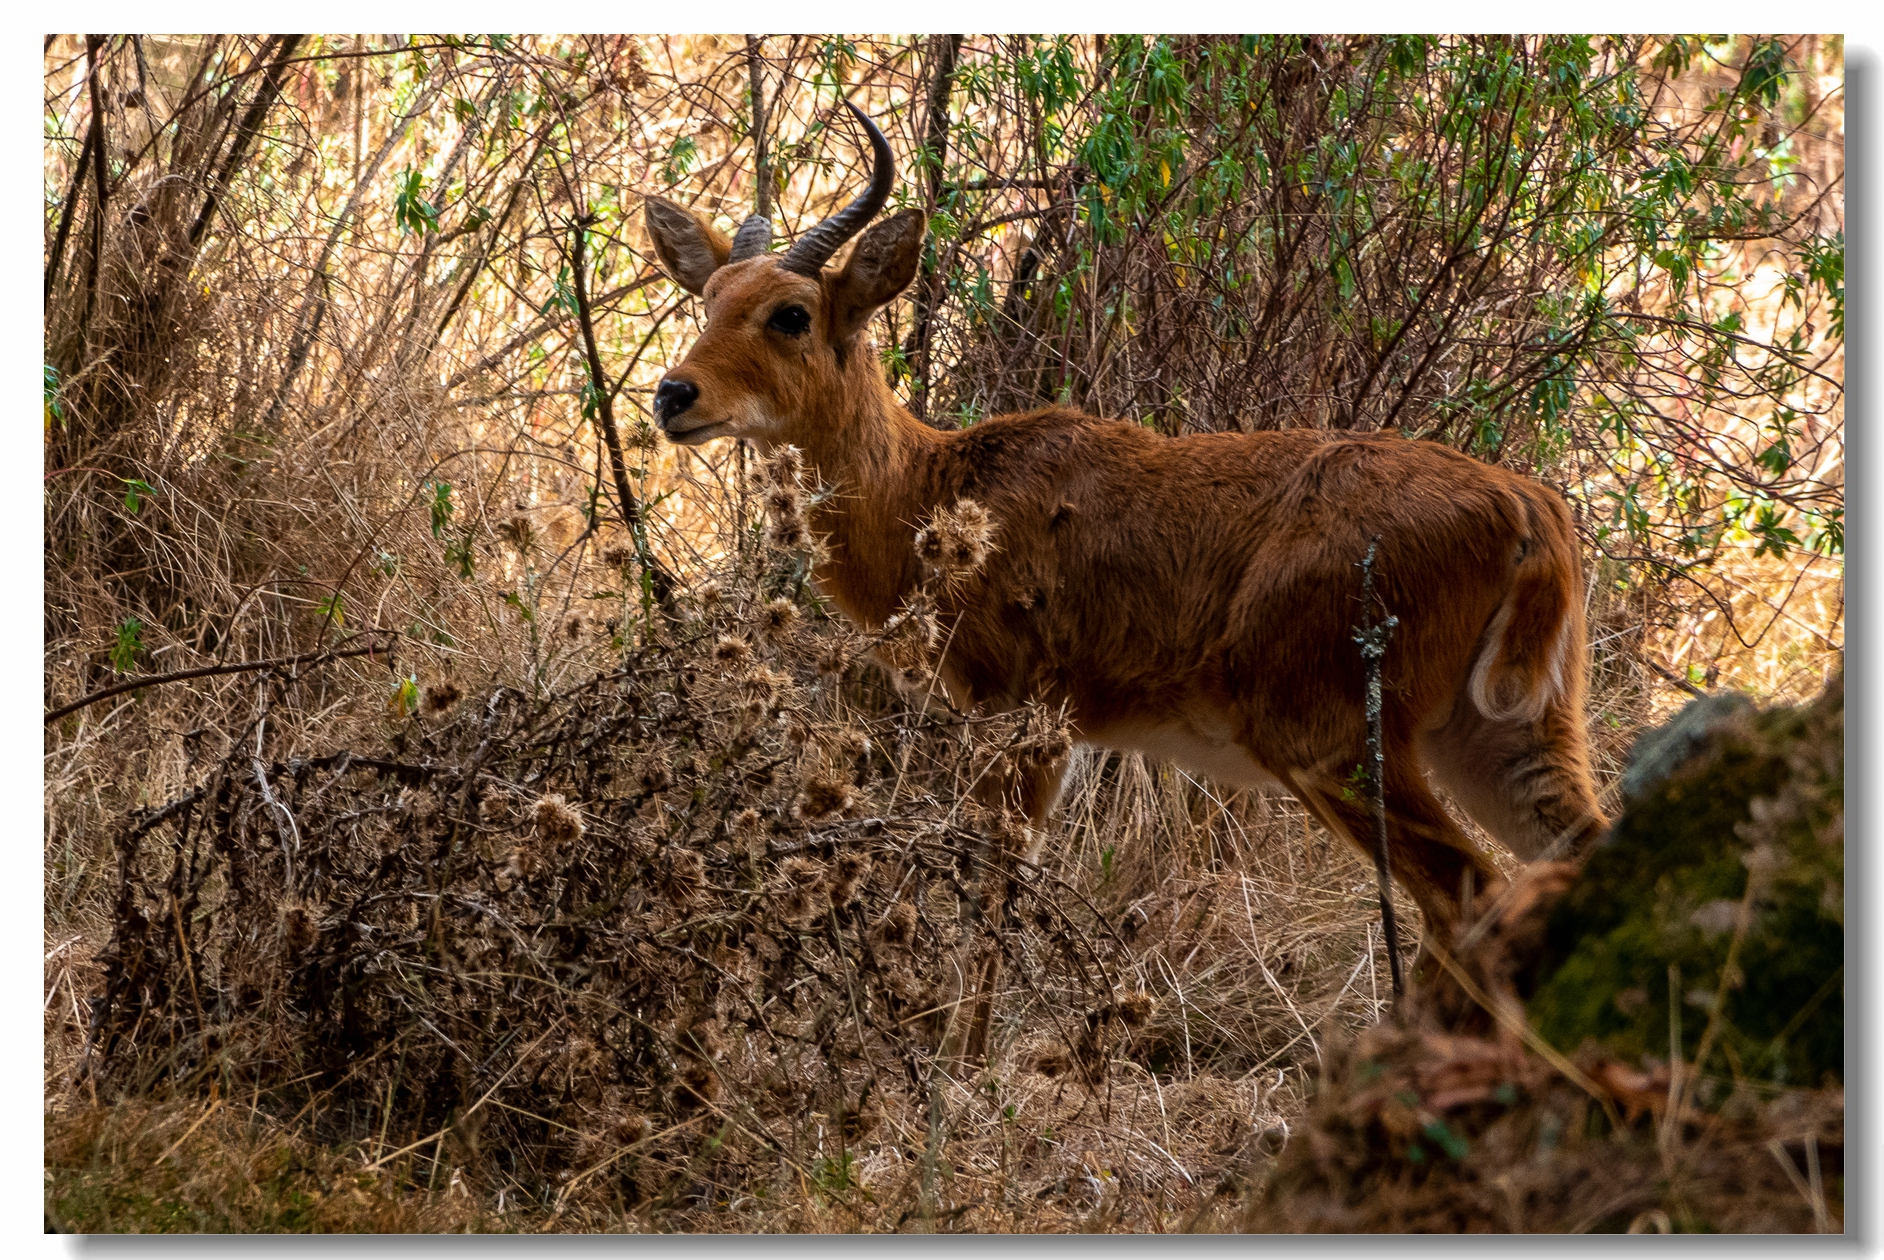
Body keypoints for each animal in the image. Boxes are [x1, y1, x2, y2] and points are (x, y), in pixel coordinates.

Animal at [644, 105, 1605, 979]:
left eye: (791, 313)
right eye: (708, 298)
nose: (673, 394)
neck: (935, 491)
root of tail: (1531, 512)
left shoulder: (1021, 716)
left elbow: (996, 890)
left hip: (1332, 742)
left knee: (1468, 898)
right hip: (1505, 737)